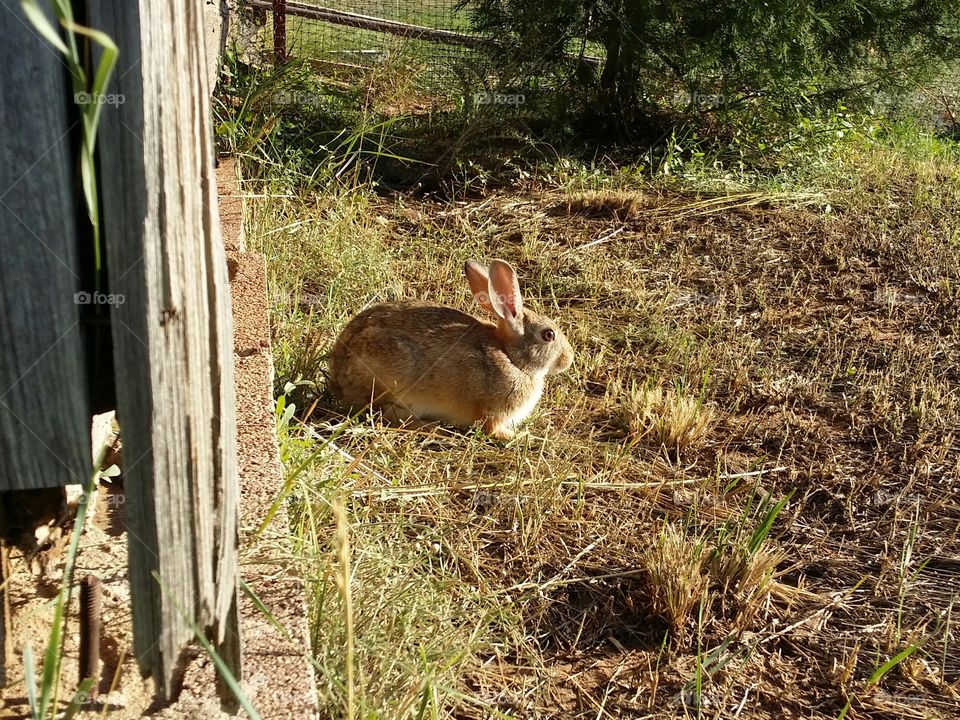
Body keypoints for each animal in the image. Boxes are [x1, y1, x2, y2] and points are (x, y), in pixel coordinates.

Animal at [329, 259, 574, 439]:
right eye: (548, 335)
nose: (568, 359)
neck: (511, 358)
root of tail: (338, 378)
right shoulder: (492, 412)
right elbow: (491, 429)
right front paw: (520, 436)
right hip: (394, 380)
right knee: (387, 415)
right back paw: (430, 428)